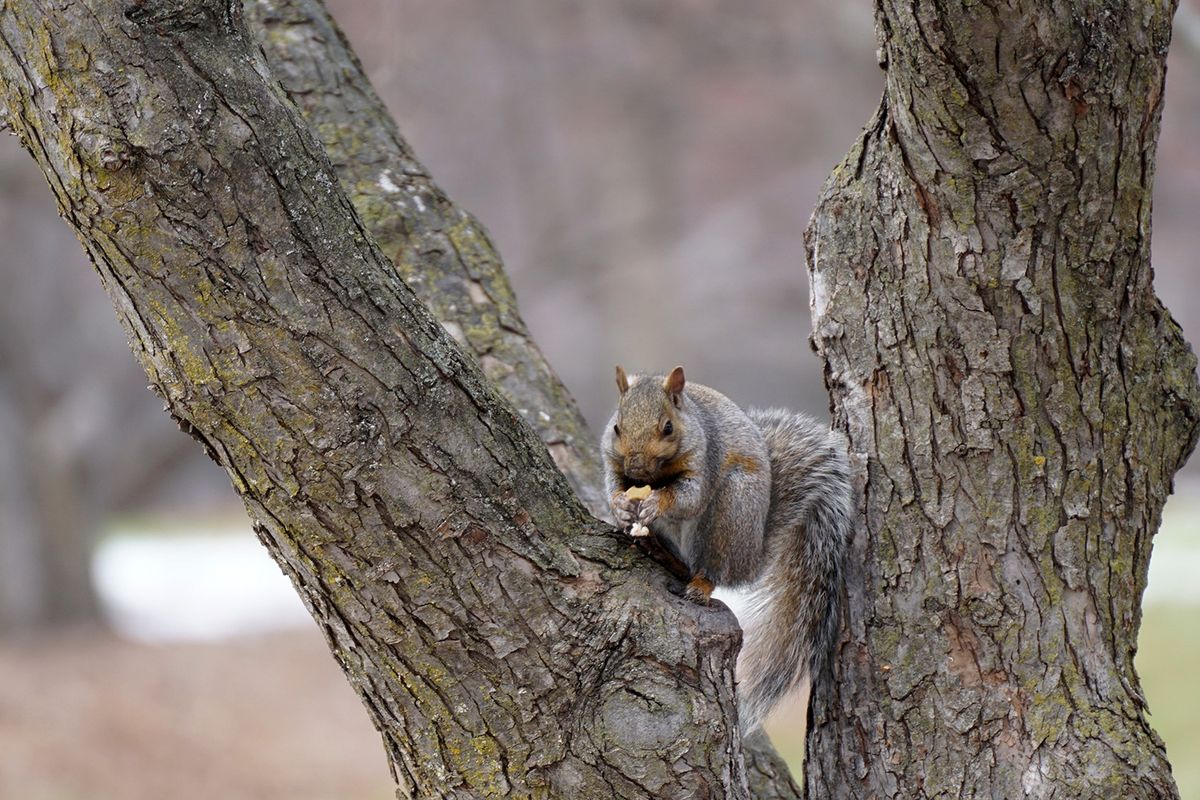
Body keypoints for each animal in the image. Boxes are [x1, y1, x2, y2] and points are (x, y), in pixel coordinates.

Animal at [600, 367, 854, 734]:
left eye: (668, 427)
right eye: (617, 427)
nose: (636, 469)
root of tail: (751, 557)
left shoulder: (704, 460)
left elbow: (688, 497)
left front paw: (657, 502)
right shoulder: (613, 460)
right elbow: (614, 484)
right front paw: (620, 506)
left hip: (730, 513)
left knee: (710, 570)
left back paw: (700, 584)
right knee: (683, 564)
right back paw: (655, 548)